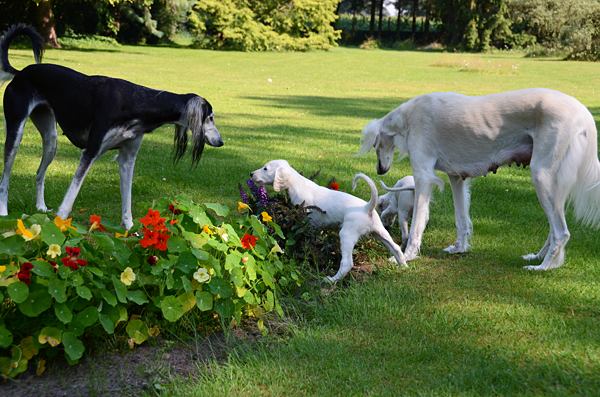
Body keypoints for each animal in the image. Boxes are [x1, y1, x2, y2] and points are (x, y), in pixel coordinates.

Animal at [0, 24, 223, 227]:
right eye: (210, 117)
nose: (221, 142)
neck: (137, 102)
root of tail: (21, 72)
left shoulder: (127, 158)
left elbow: (127, 202)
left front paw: (131, 232)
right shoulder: (90, 152)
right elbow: (70, 197)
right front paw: (60, 225)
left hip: (51, 139)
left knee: (39, 174)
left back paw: (40, 207)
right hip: (16, 134)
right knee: (4, 180)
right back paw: (4, 212)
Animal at [248, 159, 408, 282]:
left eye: (265, 168)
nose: (251, 174)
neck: (298, 184)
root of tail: (367, 207)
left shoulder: (306, 222)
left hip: (347, 235)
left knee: (347, 263)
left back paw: (331, 280)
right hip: (380, 231)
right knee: (396, 248)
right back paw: (403, 267)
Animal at [356, 88, 600, 270]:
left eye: (376, 147)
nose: (380, 170)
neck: (407, 116)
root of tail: (584, 113)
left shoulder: (423, 176)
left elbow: (417, 224)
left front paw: (407, 256)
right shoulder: (456, 177)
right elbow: (461, 219)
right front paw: (459, 248)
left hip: (541, 175)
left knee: (561, 232)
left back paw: (543, 267)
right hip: (552, 183)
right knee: (553, 227)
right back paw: (538, 257)